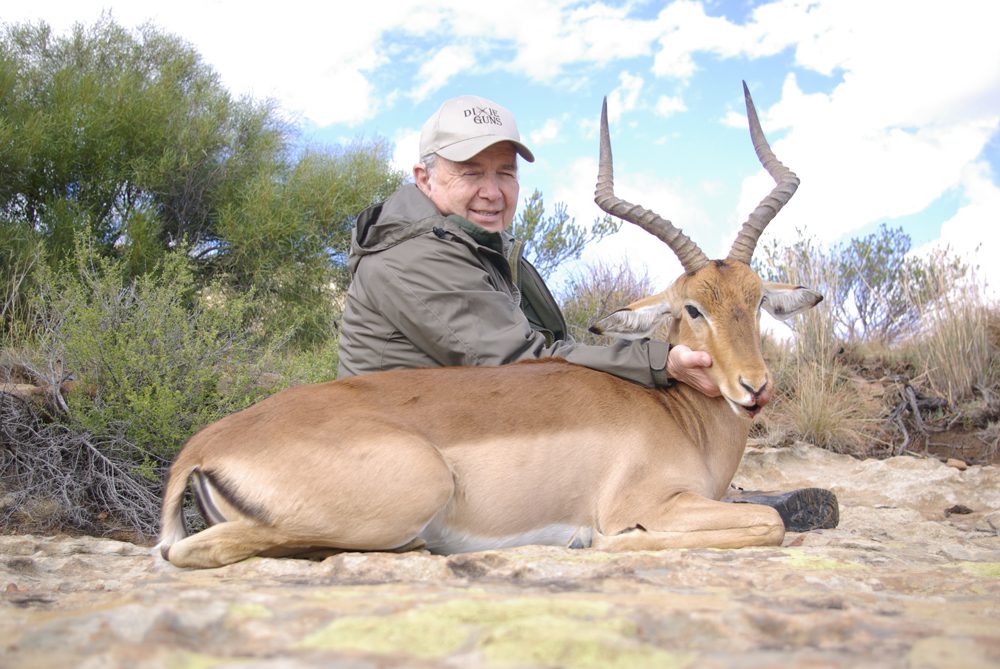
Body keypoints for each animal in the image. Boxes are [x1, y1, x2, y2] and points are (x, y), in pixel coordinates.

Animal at [158, 82, 823, 569]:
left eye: (756, 301)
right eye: (692, 308)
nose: (754, 388)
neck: (680, 417)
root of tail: (201, 446)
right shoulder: (647, 502)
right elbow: (771, 521)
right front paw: (605, 541)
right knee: (188, 551)